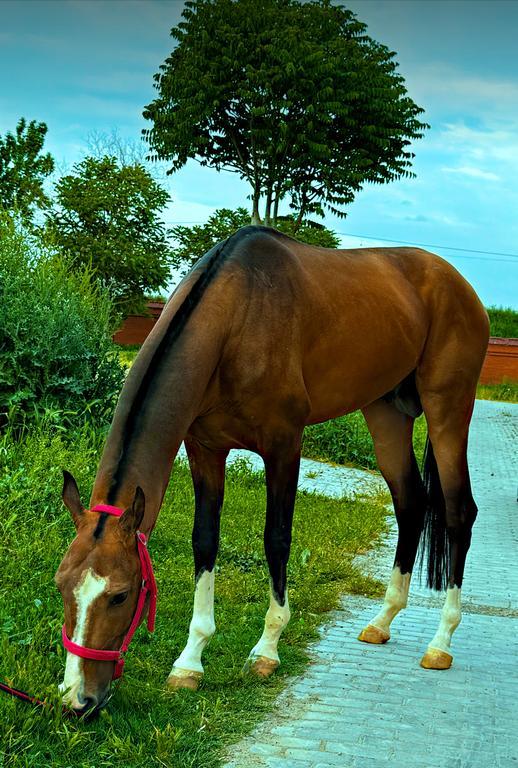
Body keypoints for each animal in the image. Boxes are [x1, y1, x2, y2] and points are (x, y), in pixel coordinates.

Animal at [55, 225, 489, 713]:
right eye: (61, 586)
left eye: (121, 594)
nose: (78, 700)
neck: (237, 316)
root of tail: (457, 284)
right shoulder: (205, 448)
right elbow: (204, 542)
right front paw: (190, 662)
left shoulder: (284, 446)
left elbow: (276, 539)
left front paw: (266, 649)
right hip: (386, 412)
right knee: (411, 503)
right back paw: (382, 621)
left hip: (448, 407)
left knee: (458, 512)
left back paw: (441, 642)